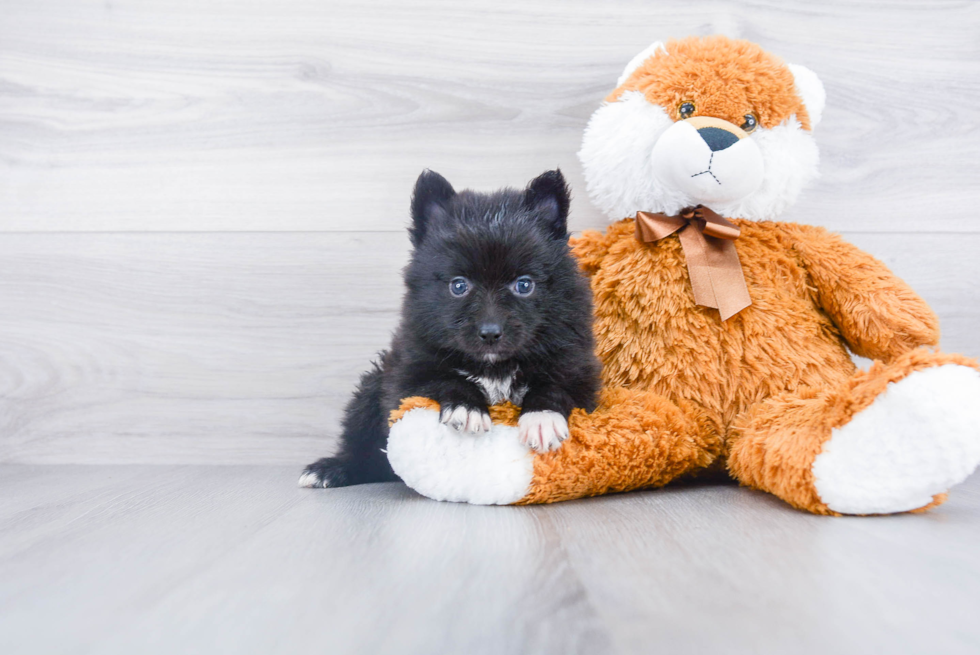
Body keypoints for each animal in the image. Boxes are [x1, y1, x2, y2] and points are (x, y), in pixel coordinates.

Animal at [298, 169, 600, 486]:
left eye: (524, 285)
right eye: (458, 286)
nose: (490, 333)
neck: (494, 367)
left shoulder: (576, 366)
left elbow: (554, 387)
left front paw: (542, 418)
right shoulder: (408, 373)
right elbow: (445, 380)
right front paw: (466, 409)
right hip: (371, 388)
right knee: (363, 448)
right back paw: (333, 468)